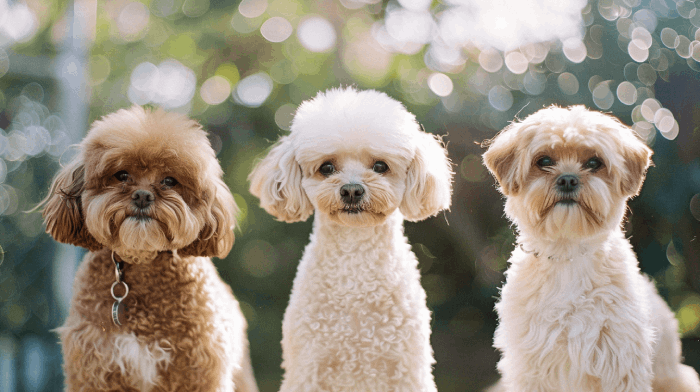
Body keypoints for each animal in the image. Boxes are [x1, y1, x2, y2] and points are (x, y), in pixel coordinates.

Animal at [249, 87, 452, 390]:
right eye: (326, 168)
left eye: (380, 165)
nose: (352, 190)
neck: (355, 258)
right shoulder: (308, 367)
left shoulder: (407, 368)